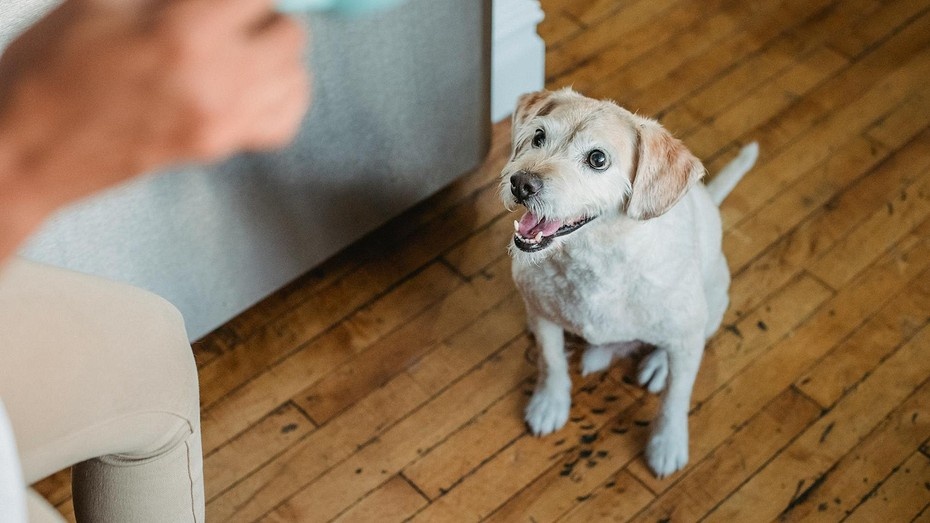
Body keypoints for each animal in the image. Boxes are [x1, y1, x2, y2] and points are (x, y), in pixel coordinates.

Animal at [500, 87, 752, 478]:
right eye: (538, 136)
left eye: (597, 159)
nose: (521, 183)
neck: (594, 259)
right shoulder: (543, 316)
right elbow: (551, 359)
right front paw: (550, 403)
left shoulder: (685, 336)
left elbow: (676, 397)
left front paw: (667, 443)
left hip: (709, 309)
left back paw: (657, 366)